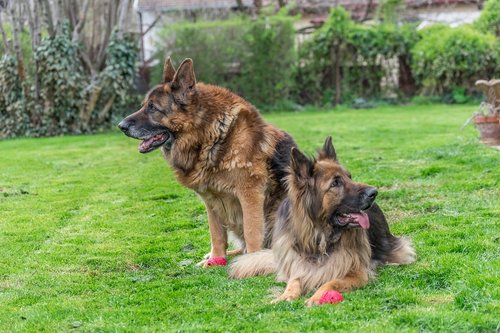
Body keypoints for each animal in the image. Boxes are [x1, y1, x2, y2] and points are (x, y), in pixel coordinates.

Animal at [230, 137, 414, 306]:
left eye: (350, 177)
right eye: (335, 183)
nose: (374, 193)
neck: (319, 237)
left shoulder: (357, 272)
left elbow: (331, 282)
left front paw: (317, 296)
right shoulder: (298, 266)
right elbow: (293, 282)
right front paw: (285, 296)